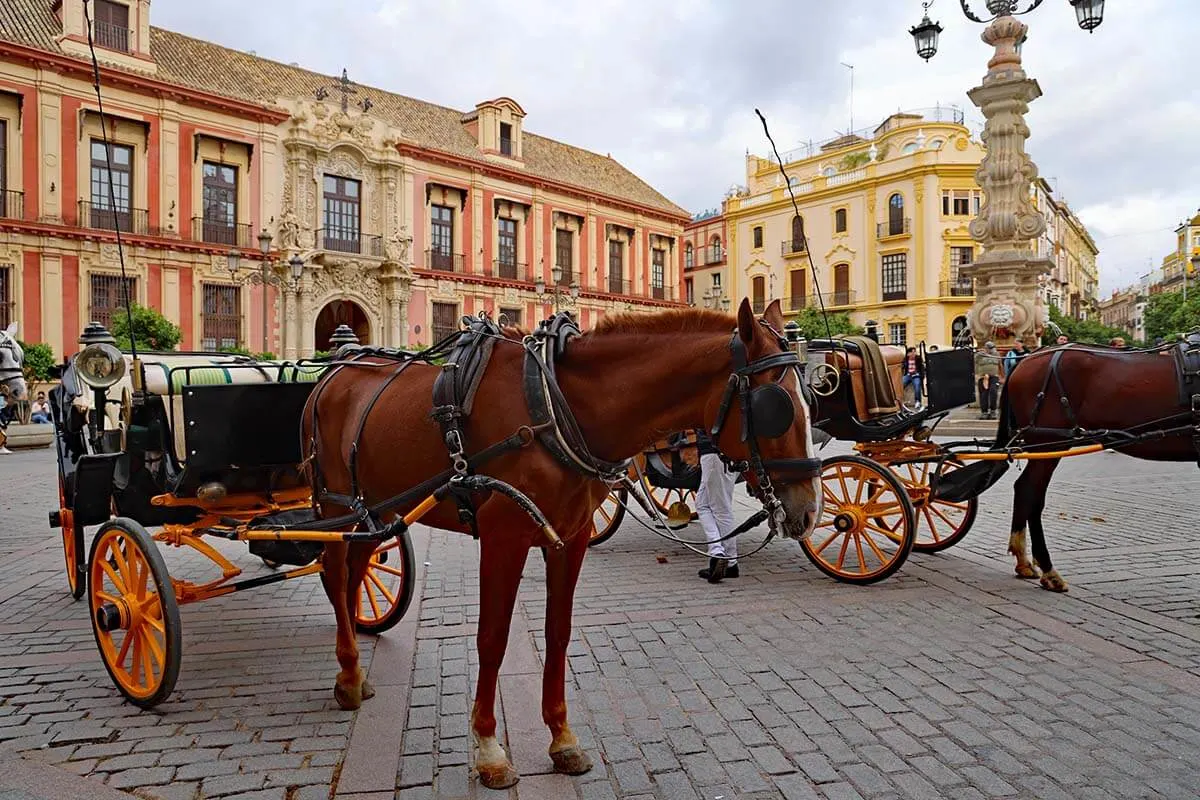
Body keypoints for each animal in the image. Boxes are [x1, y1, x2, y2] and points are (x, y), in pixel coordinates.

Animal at [304, 297, 820, 786]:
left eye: (810, 398)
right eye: (778, 407)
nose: (810, 510)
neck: (554, 403)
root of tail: (335, 371)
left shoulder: (570, 539)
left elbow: (559, 633)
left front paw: (562, 739)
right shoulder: (504, 538)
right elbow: (492, 637)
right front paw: (489, 749)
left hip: (377, 510)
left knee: (354, 573)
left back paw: (356, 674)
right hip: (334, 505)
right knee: (335, 574)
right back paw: (347, 675)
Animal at [998, 340, 1195, 592]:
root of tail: (1027, 358)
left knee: (1025, 491)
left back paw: (1024, 562)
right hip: (1048, 442)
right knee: (1031, 492)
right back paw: (1049, 570)